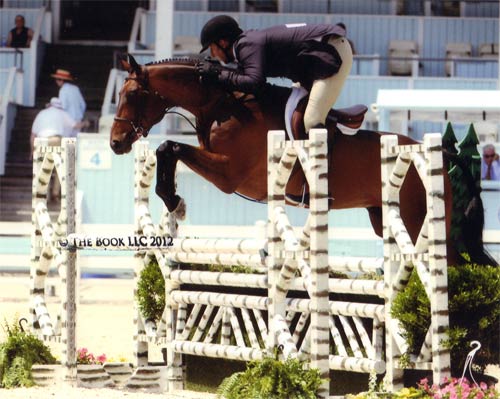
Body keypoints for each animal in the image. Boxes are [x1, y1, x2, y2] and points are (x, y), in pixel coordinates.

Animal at [109, 54, 496, 268]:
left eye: (133, 94)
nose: (116, 142)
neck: (222, 105)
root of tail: (442, 154)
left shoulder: (229, 174)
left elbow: (171, 147)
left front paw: (175, 199)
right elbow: (168, 149)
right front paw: (173, 201)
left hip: (419, 222)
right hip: (385, 217)